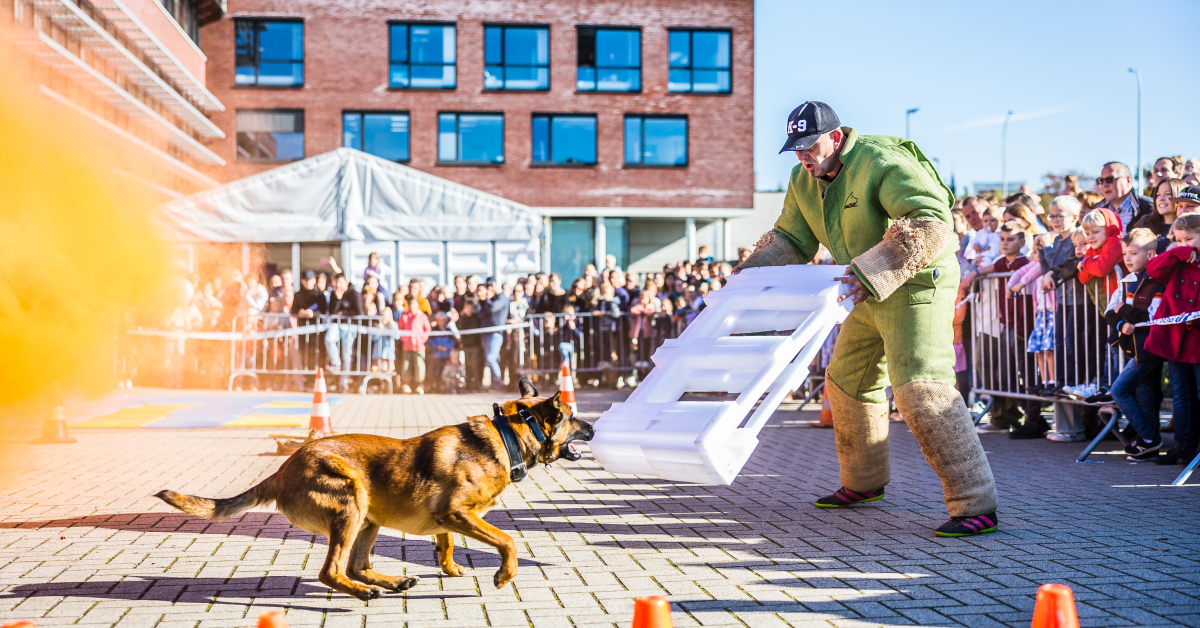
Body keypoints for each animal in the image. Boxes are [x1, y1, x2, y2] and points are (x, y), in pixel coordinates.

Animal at [155, 379, 594, 600]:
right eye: (573, 416)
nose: (593, 428)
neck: (507, 437)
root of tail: (284, 468)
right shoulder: (457, 512)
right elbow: (507, 540)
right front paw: (504, 574)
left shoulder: (449, 518)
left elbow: (447, 542)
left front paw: (449, 566)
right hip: (351, 500)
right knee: (332, 571)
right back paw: (364, 592)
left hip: (368, 518)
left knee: (355, 565)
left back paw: (391, 582)